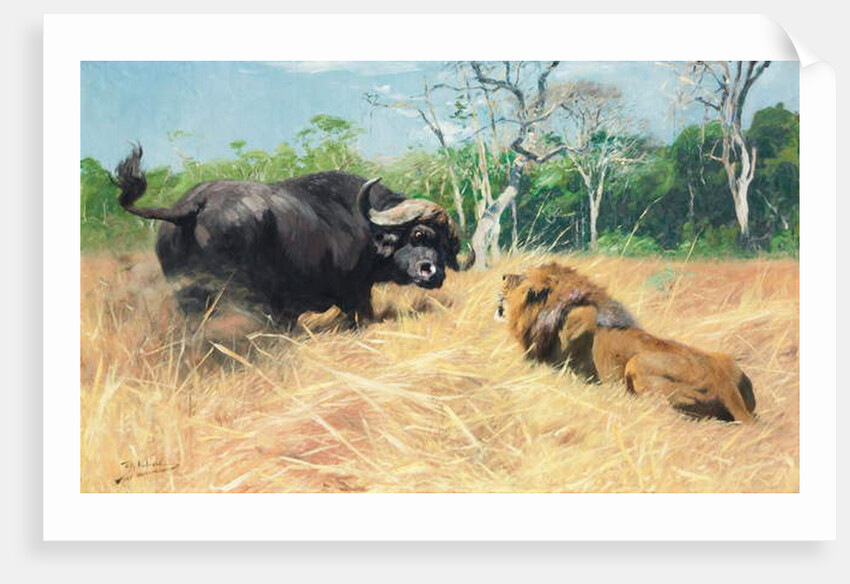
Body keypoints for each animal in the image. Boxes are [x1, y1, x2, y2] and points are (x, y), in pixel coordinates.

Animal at [113, 145, 468, 327]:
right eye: (419, 234)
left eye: (446, 245)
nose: (434, 273)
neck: (367, 226)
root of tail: (194, 206)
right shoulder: (355, 294)